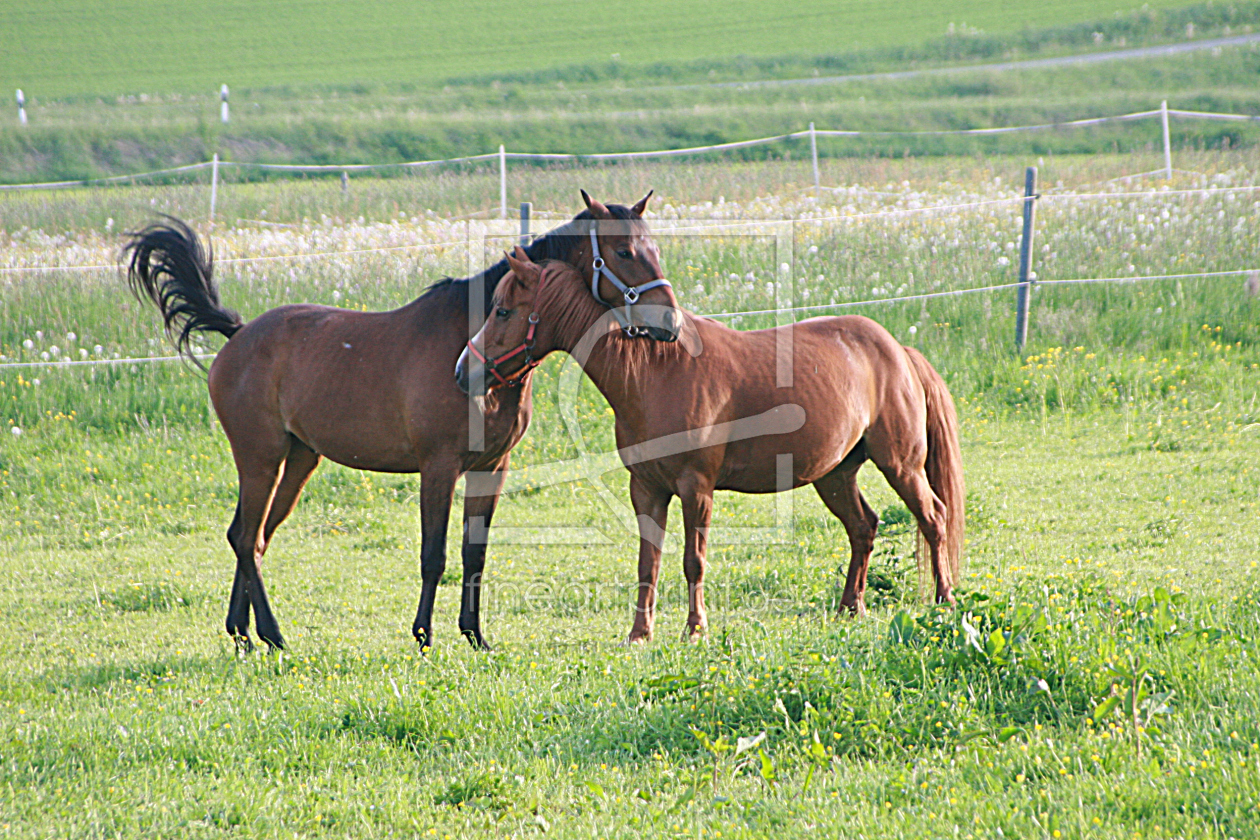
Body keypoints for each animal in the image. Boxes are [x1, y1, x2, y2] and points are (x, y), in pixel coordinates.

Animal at [120, 188, 670, 649]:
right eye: (624, 252)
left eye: (654, 247)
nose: (667, 320)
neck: (471, 347)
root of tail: (237, 334)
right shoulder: (438, 467)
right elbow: (435, 554)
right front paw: (424, 636)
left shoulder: (491, 467)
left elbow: (474, 553)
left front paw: (475, 636)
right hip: (260, 458)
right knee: (243, 536)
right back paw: (272, 635)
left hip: (297, 461)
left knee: (253, 538)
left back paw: (242, 632)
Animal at [461, 251, 962, 644]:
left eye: (503, 311)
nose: (464, 370)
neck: (654, 373)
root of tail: (898, 350)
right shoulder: (646, 490)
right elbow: (648, 563)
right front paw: (639, 634)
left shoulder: (696, 488)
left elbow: (692, 561)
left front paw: (695, 628)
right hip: (835, 475)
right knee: (863, 528)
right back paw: (849, 607)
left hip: (901, 465)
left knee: (933, 519)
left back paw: (944, 601)